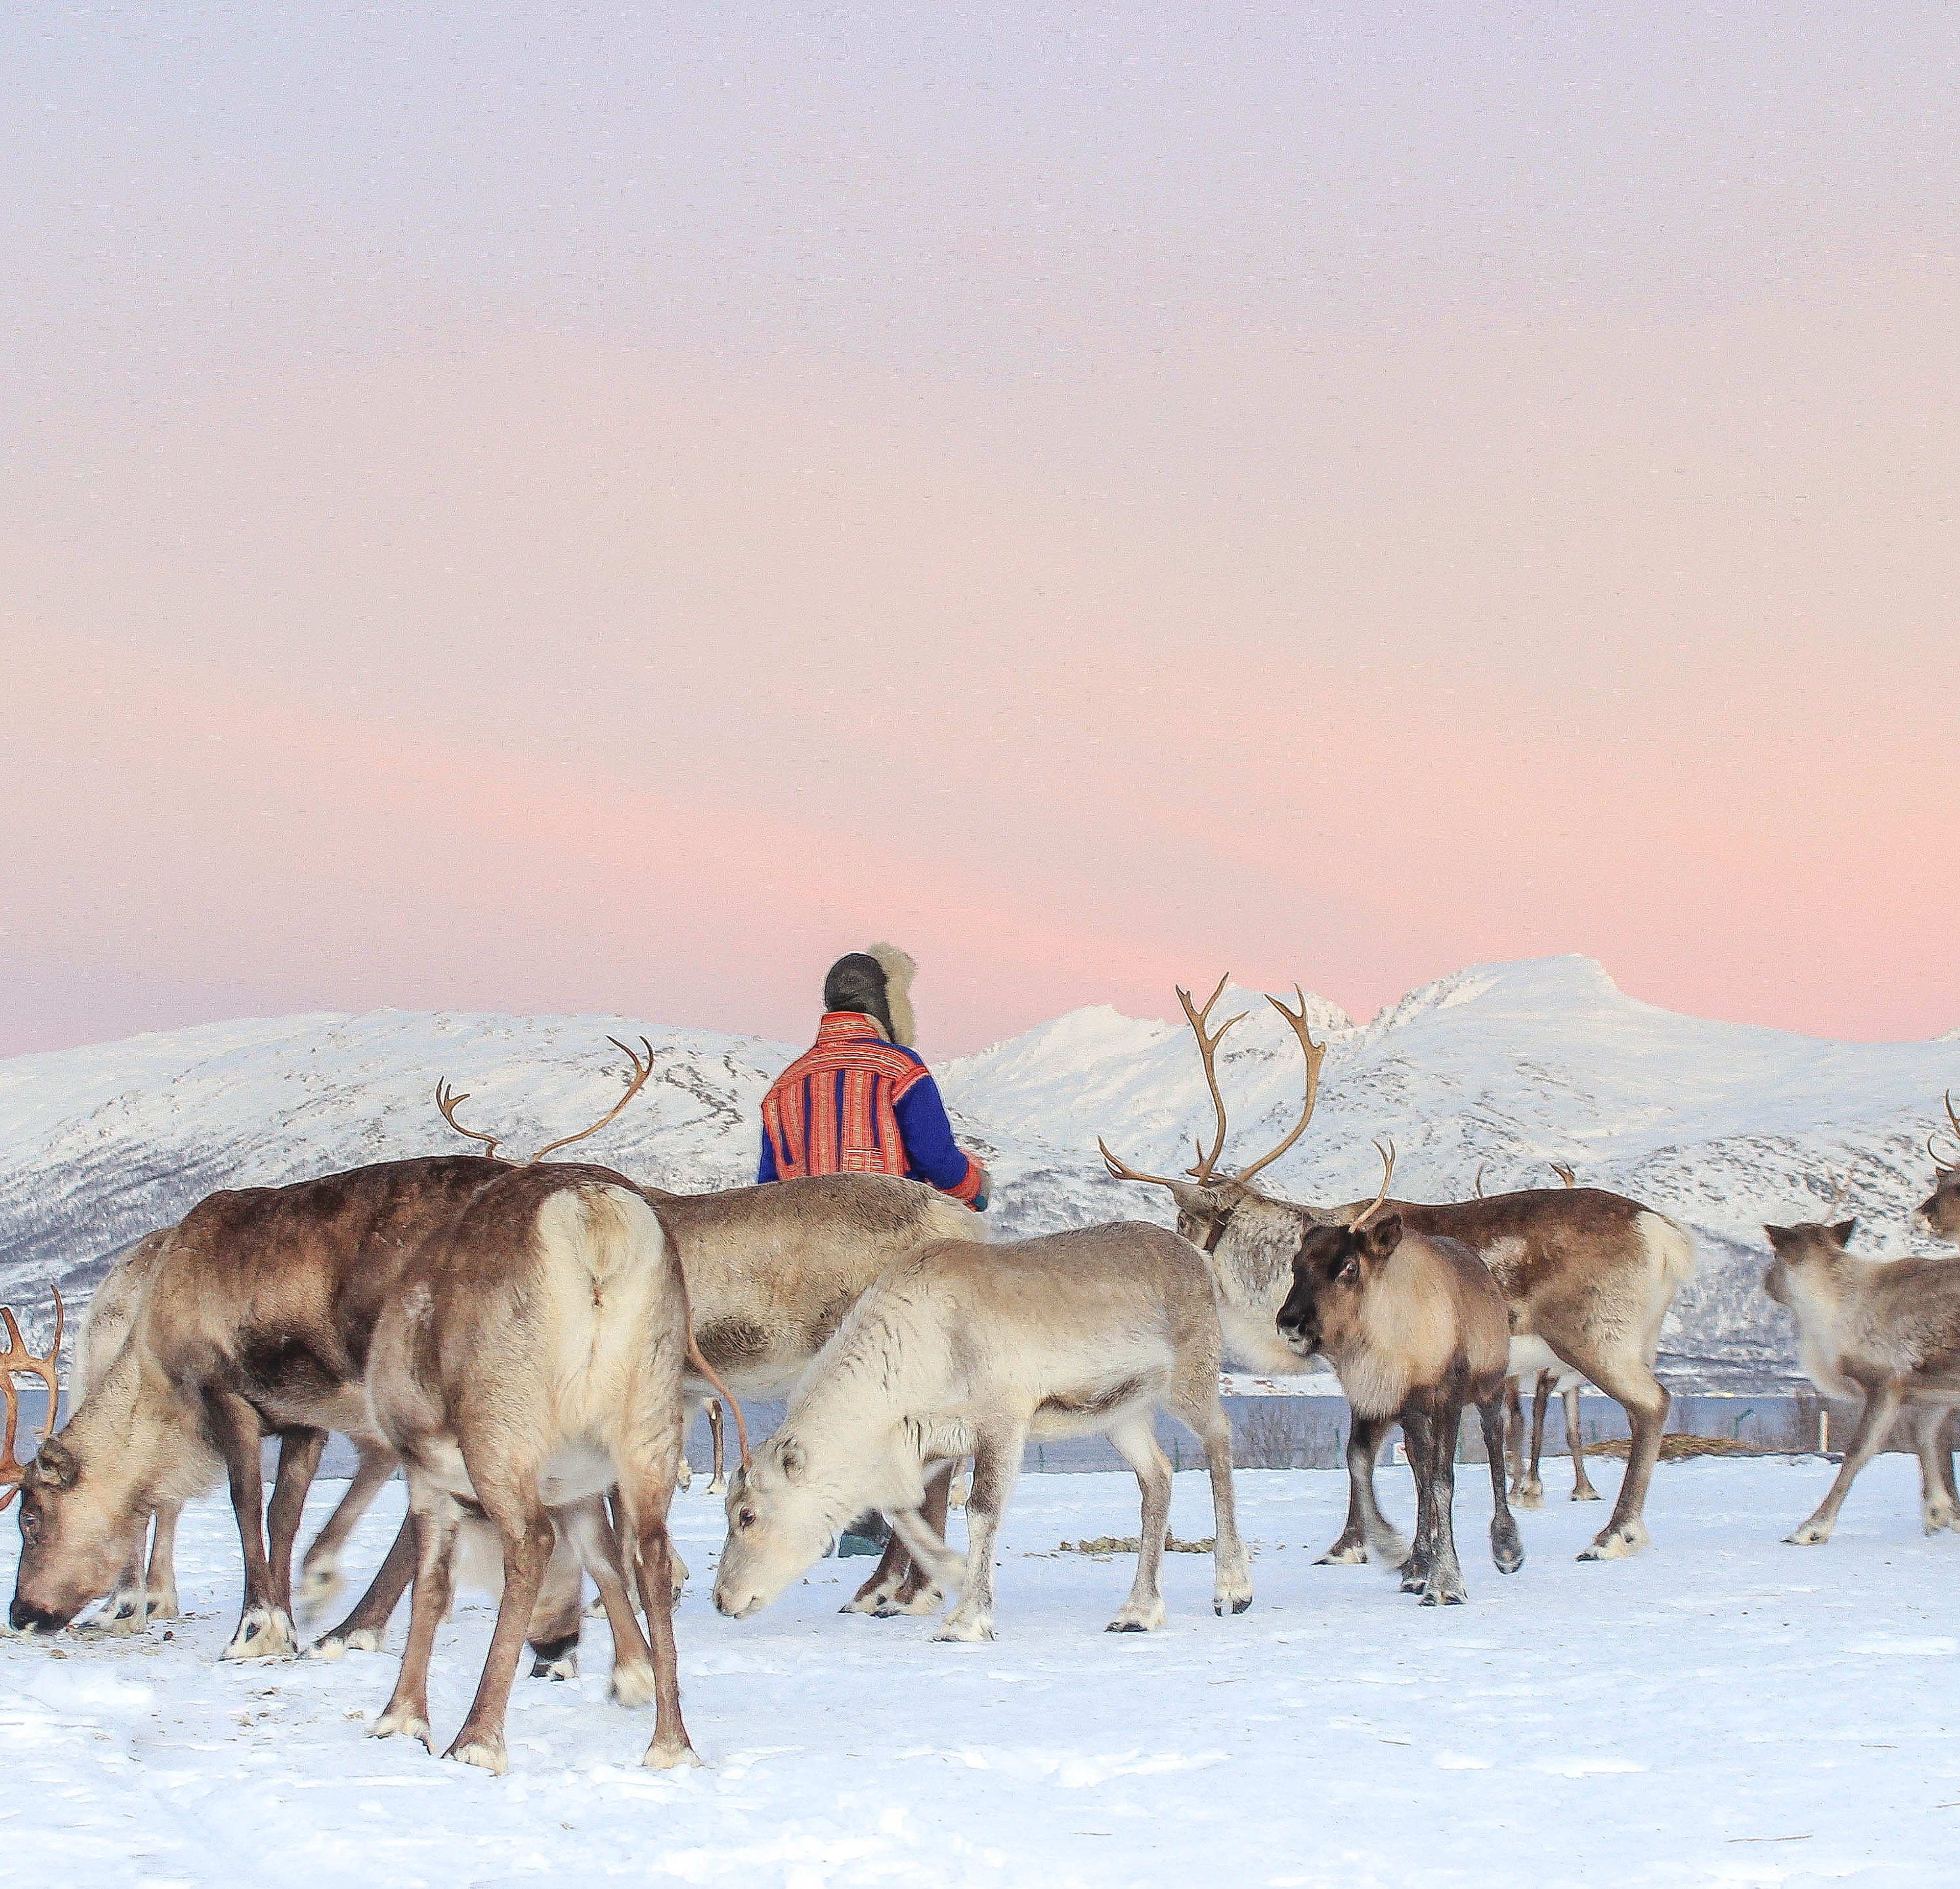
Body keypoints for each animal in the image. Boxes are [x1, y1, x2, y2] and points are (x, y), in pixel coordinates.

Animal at [713, 1221, 1253, 1642]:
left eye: (746, 1515)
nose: (722, 1600)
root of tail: (1201, 1260)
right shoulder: (930, 1442)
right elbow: (902, 1510)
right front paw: (949, 1574)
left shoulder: (1003, 1423)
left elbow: (981, 1511)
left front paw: (967, 1619)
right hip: (1122, 1416)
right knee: (1158, 1475)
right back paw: (1137, 1613)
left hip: (1190, 1381)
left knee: (1220, 1439)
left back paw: (1233, 1589)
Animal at [1276, 1143, 1523, 1603]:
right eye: (1297, 1265)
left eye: (1349, 1266)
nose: (1290, 1322)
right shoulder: (1376, 1401)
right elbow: (1361, 1463)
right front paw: (1395, 1549)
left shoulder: (1447, 1397)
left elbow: (1444, 1481)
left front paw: (1448, 1583)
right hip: (1415, 1418)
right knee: (1420, 1474)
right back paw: (1417, 1564)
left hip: (1490, 1387)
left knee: (1495, 1447)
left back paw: (1506, 1547)